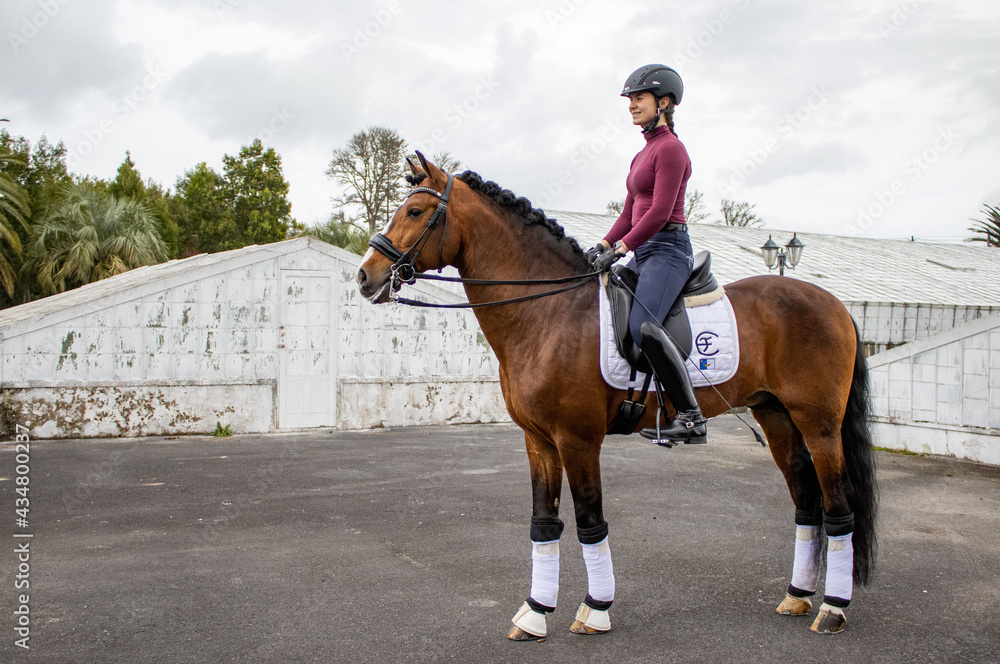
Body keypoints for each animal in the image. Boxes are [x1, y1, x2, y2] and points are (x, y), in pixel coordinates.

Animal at [356, 153, 877, 639]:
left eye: (416, 211)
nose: (365, 276)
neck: (549, 312)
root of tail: (835, 304)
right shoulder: (538, 441)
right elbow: (544, 524)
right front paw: (535, 613)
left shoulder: (578, 439)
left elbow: (590, 520)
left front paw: (595, 609)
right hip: (777, 417)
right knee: (807, 503)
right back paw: (798, 596)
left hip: (819, 425)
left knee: (838, 509)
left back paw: (833, 609)